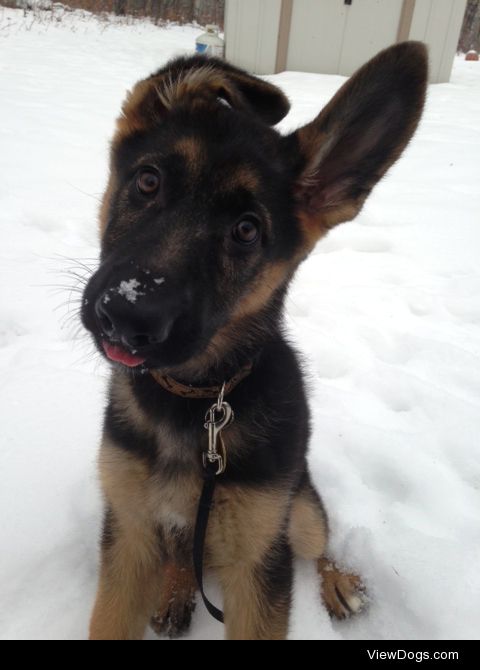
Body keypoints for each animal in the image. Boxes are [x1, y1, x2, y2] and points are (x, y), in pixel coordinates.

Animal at [81, 42, 428, 640]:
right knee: (182, 551)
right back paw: (175, 590)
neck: (197, 402)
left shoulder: (258, 562)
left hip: (298, 511)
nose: (125, 314)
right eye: (148, 181)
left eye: (247, 230)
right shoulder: (128, 534)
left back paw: (338, 583)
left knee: (318, 541)